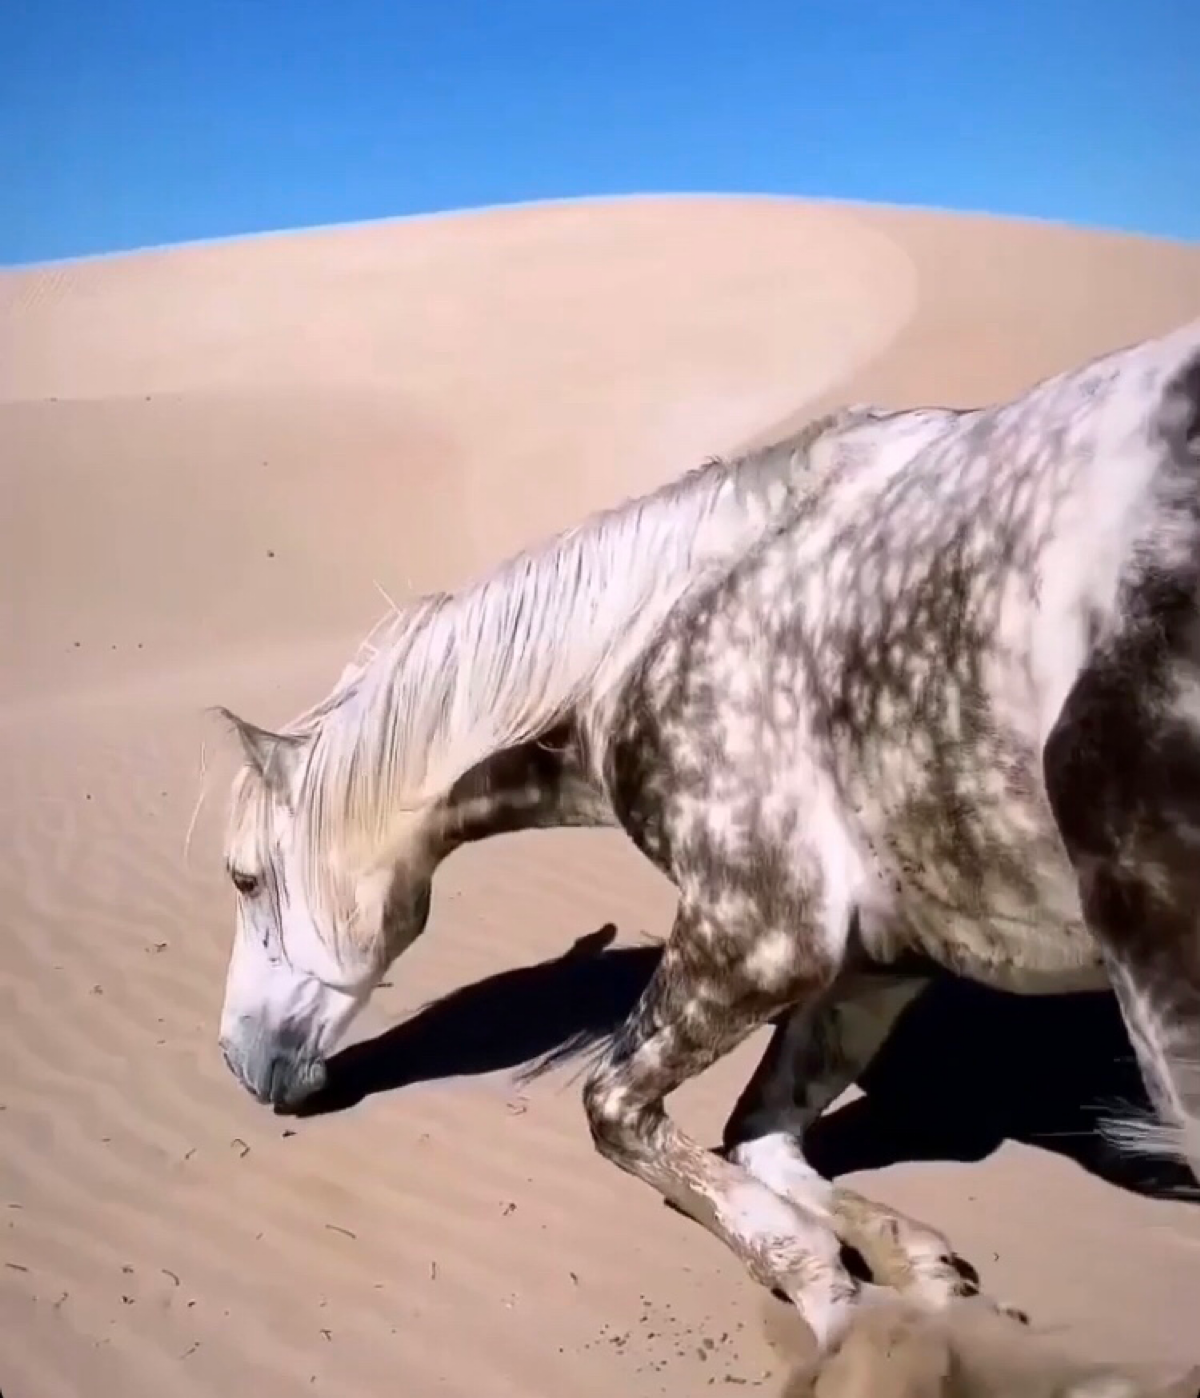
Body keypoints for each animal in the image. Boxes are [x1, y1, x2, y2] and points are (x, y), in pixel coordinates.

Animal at [214, 315, 1200, 1358]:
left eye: (244, 878)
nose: (240, 1061)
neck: (658, 622)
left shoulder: (755, 938)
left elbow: (620, 1113)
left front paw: (829, 1297)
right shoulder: (878, 958)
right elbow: (759, 1135)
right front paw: (920, 1275)